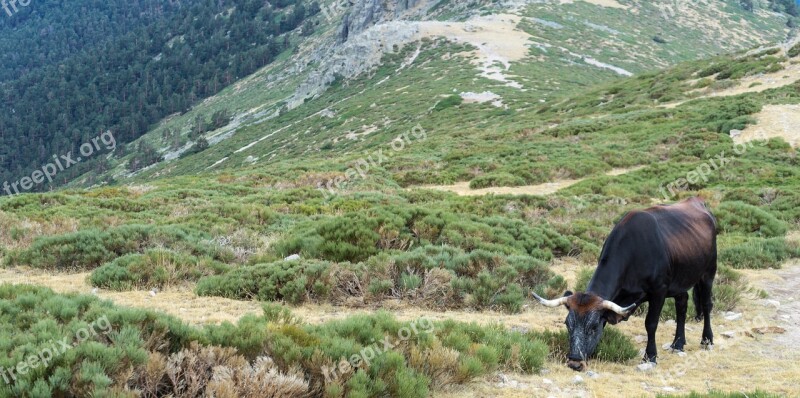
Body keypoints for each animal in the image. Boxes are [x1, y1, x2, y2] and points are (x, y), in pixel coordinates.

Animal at [532, 197, 720, 372]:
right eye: (567, 324)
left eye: (593, 327)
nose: (575, 362)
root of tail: (698, 203)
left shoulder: (658, 291)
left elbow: (651, 323)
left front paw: (650, 356)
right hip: (680, 281)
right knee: (682, 306)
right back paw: (678, 343)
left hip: (708, 273)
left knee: (706, 304)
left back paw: (706, 339)